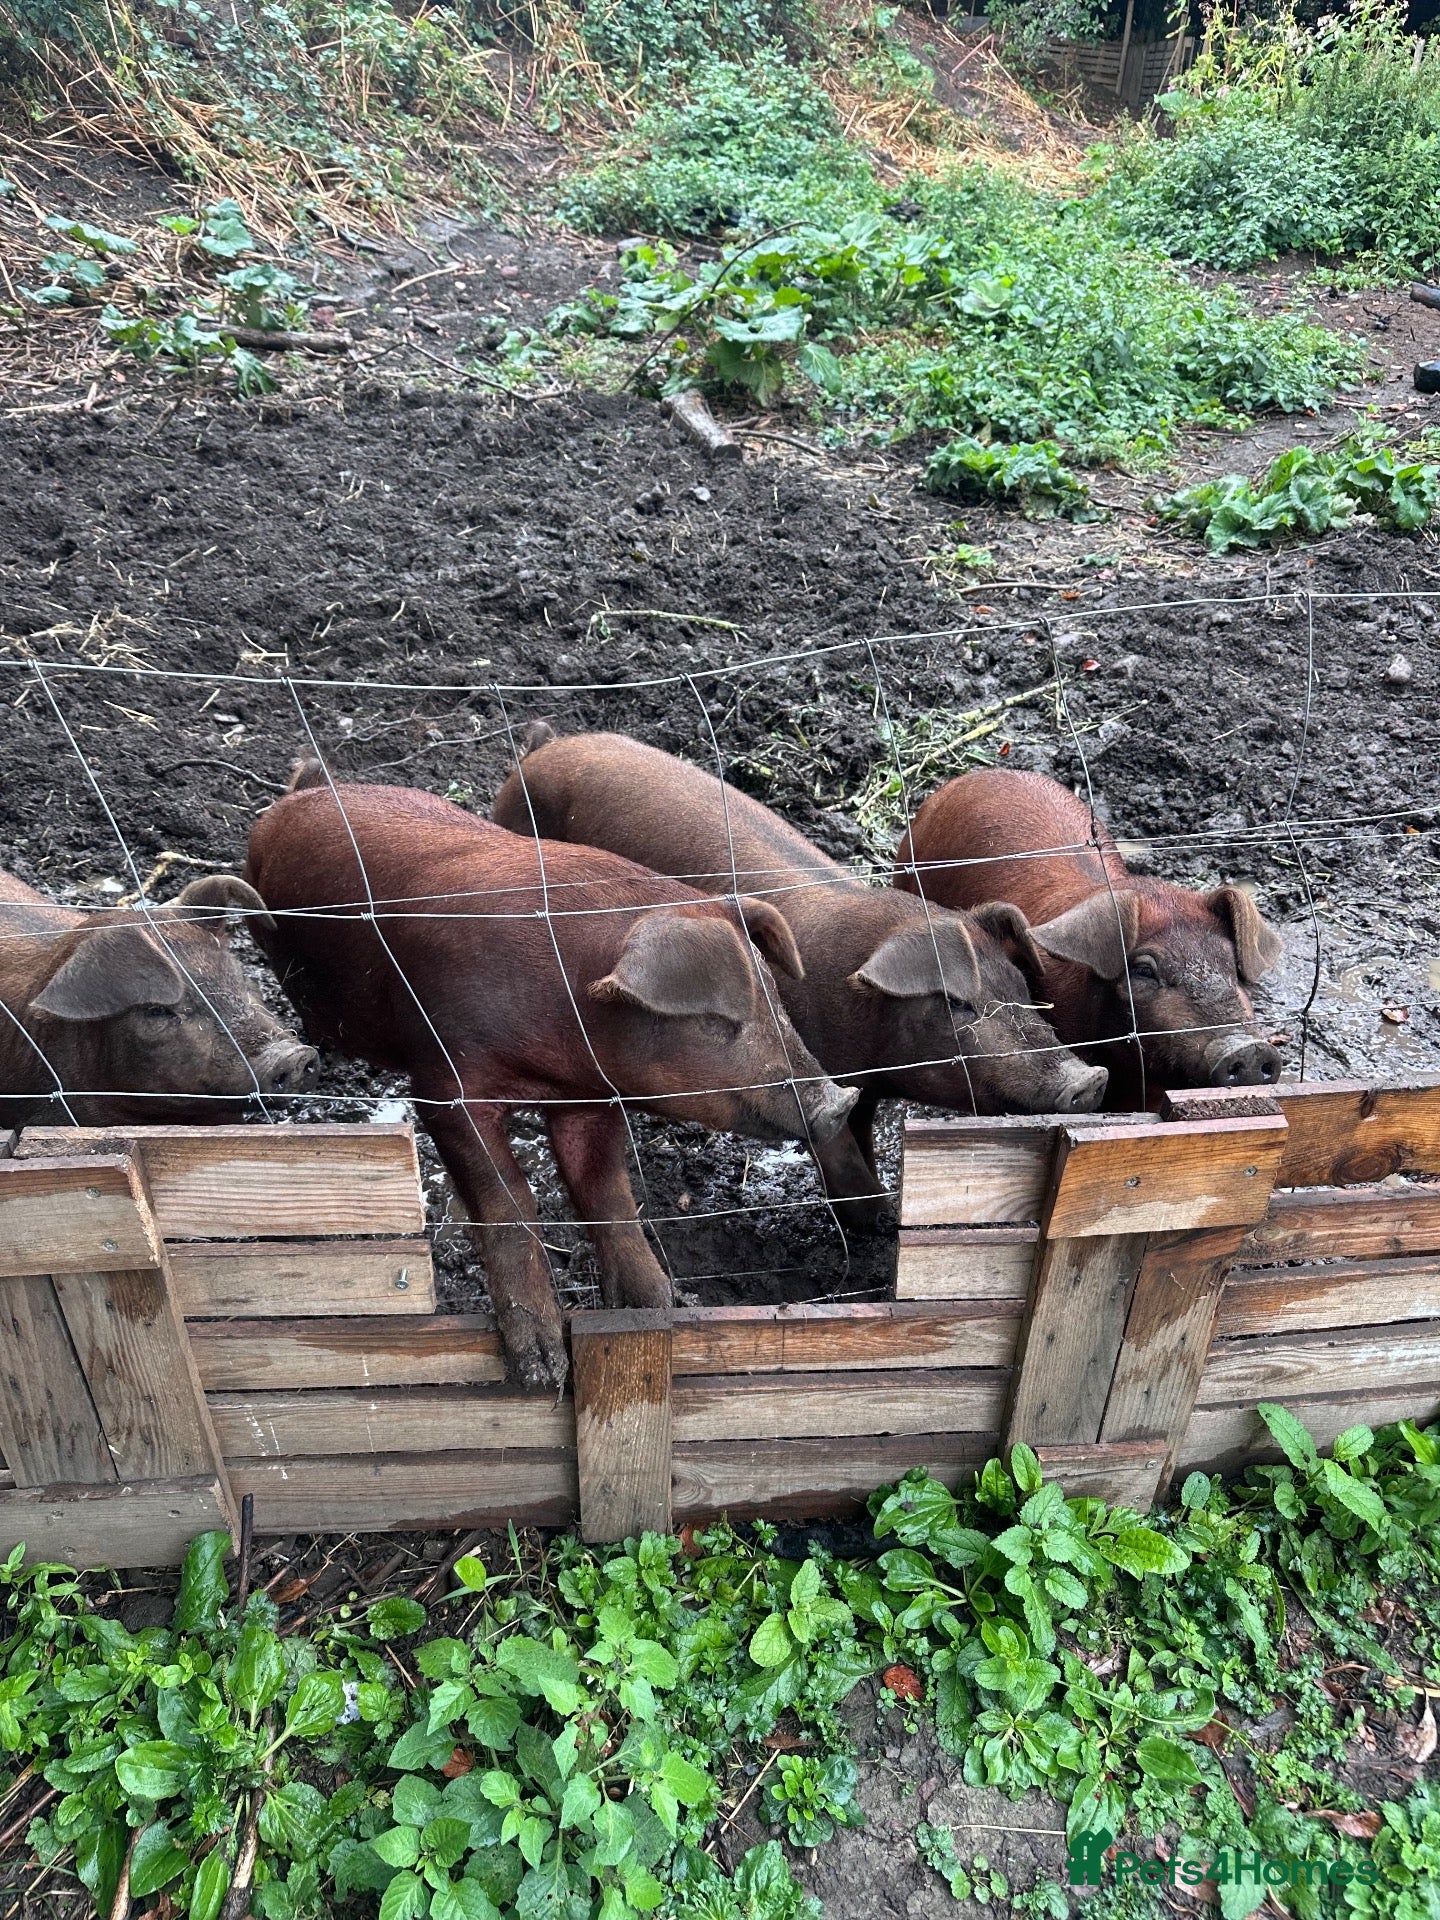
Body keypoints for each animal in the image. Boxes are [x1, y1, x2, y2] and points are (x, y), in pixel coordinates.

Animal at [245, 766, 857, 1389]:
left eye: (777, 996)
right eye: (716, 1020)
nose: (840, 1099)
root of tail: (296, 797)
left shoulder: (590, 1101)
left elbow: (607, 1192)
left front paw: (657, 1309)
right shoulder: (444, 1086)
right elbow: (508, 1198)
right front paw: (541, 1371)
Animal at [492, 729, 1108, 1230]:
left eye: (1021, 990)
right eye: (957, 1004)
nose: (1090, 1077)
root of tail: (541, 749)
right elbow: (837, 1142)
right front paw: (874, 1217)